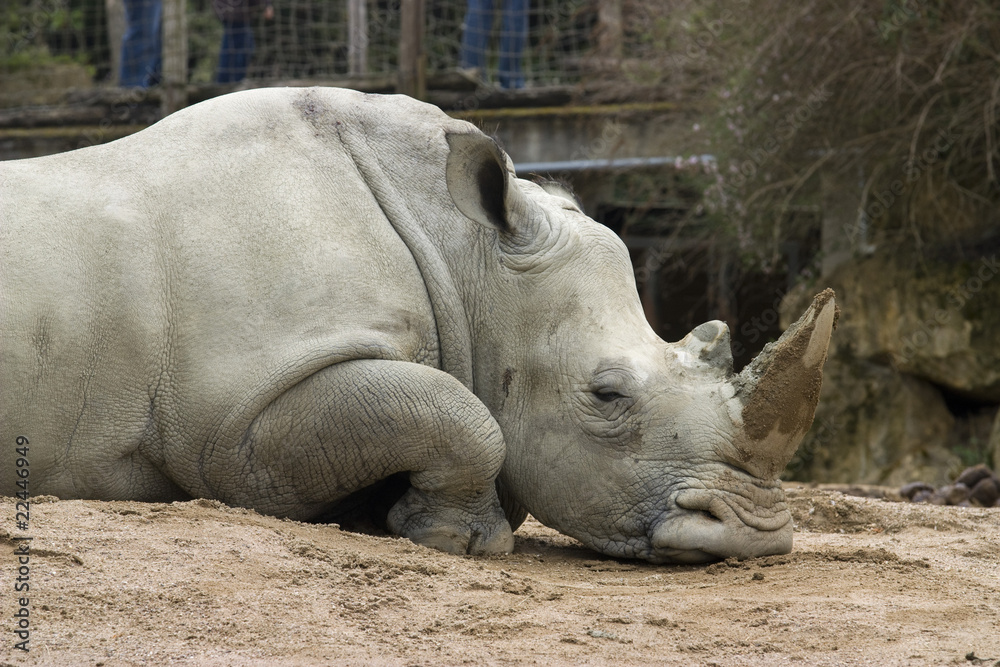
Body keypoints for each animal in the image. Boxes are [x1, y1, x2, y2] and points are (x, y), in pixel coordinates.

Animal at [0, 87, 836, 564]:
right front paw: (459, 541)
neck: (468, 254)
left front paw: (387, 516)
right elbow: (458, 413)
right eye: (606, 395)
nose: (754, 533)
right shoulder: (230, 423)